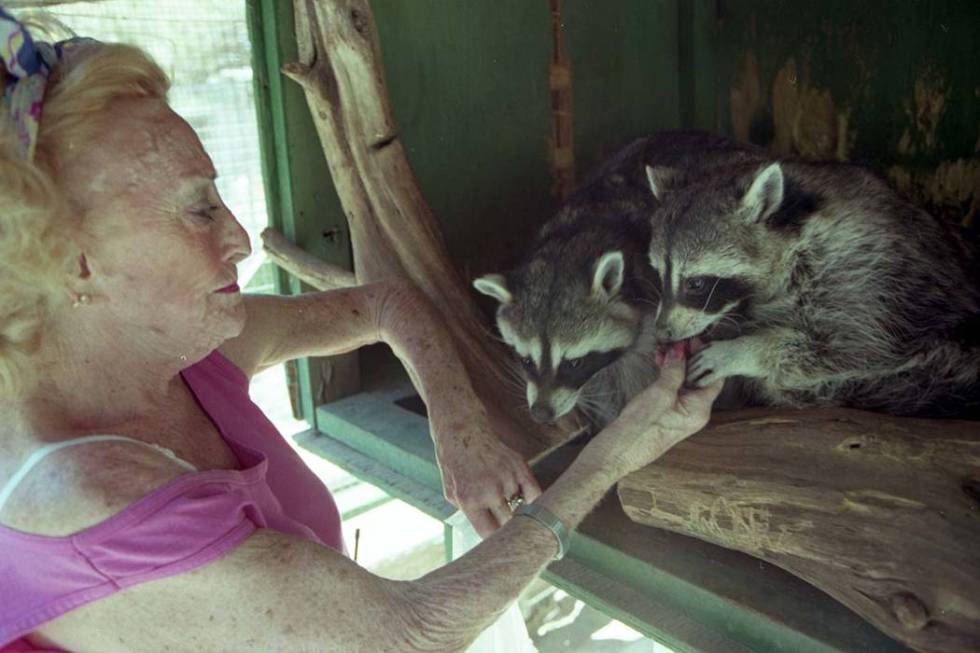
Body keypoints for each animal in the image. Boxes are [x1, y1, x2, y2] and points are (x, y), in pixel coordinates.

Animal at [648, 157, 980, 418]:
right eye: (660, 276)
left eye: (696, 284)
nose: (662, 332)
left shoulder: (865, 275)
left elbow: (855, 347)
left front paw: (747, 349)